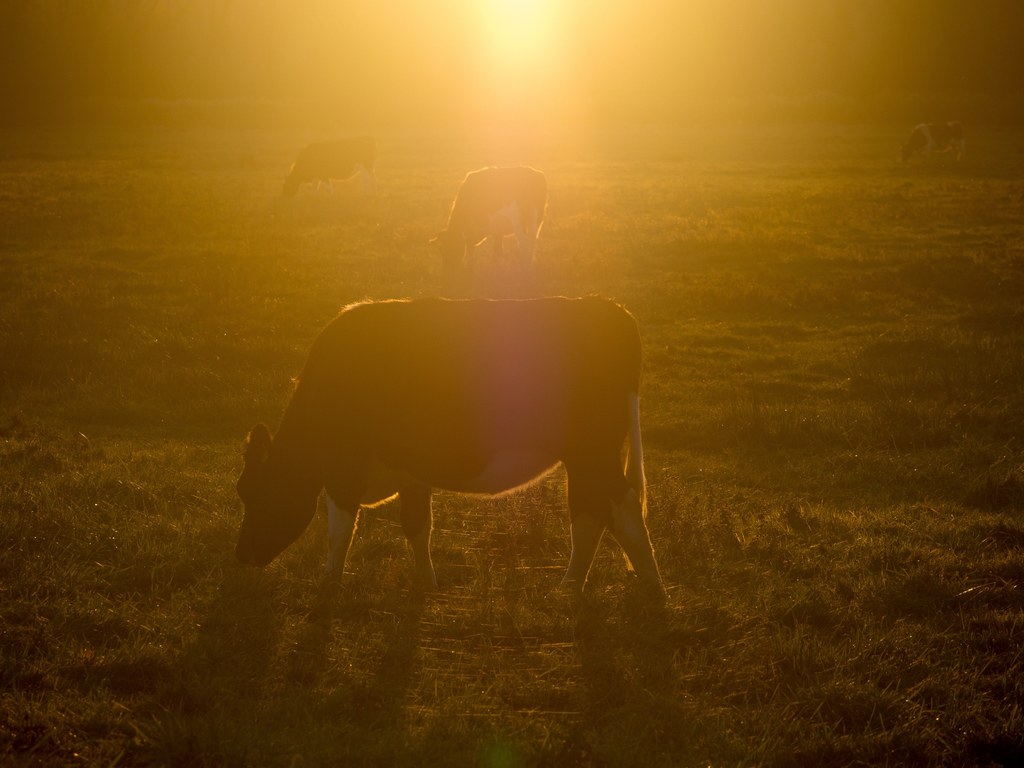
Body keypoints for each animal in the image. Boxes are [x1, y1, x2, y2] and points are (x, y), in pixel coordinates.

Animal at [233, 296, 663, 598]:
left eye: (255, 492)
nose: (242, 556)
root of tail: (607, 306)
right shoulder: (412, 473)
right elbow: (417, 526)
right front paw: (427, 582)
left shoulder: (343, 472)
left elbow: (340, 532)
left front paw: (328, 584)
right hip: (585, 456)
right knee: (593, 511)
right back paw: (575, 585)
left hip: (592, 451)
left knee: (619, 506)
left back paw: (647, 587)